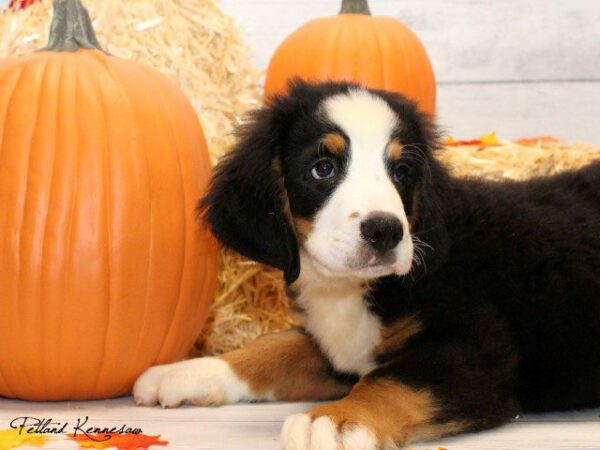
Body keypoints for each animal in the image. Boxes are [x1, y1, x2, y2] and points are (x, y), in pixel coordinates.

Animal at [135, 81, 600, 450]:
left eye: (402, 171)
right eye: (323, 168)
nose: (385, 231)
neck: (351, 290)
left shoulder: (477, 351)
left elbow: (391, 379)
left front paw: (335, 420)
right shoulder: (340, 347)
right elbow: (278, 345)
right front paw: (191, 370)